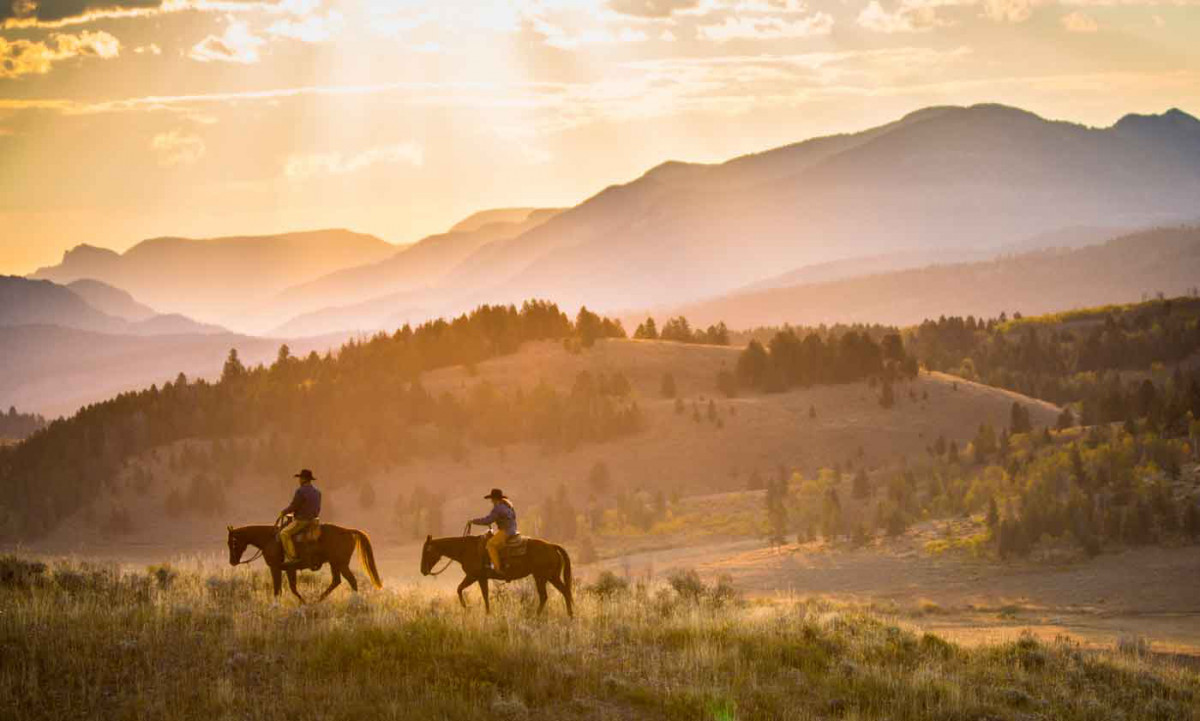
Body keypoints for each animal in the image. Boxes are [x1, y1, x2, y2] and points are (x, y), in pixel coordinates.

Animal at [223, 523, 376, 602]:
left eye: (233, 542)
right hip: (335, 564)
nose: (232, 562)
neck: (268, 539)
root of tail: (348, 531)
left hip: (341, 564)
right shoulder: (290, 569)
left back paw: (355, 602)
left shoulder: (275, 568)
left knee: (351, 581)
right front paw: (304, 603)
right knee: (337, 581)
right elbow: (293, 589)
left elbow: (278, 590)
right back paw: (318, 600)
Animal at [420, 530, 573, 614]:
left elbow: (461, 589)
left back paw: (537, 616)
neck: (466, 549)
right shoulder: (481, 578)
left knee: (544, 596)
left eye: (426, 551)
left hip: (541, 577)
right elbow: (484, 595)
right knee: (565, 592)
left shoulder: (474, 576)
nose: (422, 570)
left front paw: (466, 607)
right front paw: (487, 613)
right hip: (552, 576)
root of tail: (552, 546)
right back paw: (570, 616)